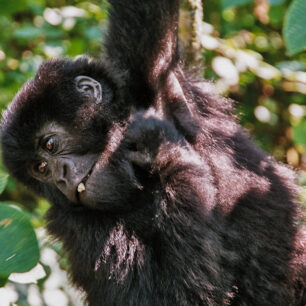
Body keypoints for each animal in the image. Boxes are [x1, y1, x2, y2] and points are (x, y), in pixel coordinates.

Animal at [1, 0, 304, 306]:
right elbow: (175, 294)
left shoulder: (151, 77)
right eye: (41, 169)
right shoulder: (69, 223)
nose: (60, 178)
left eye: (49, 144)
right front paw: (165, 152)